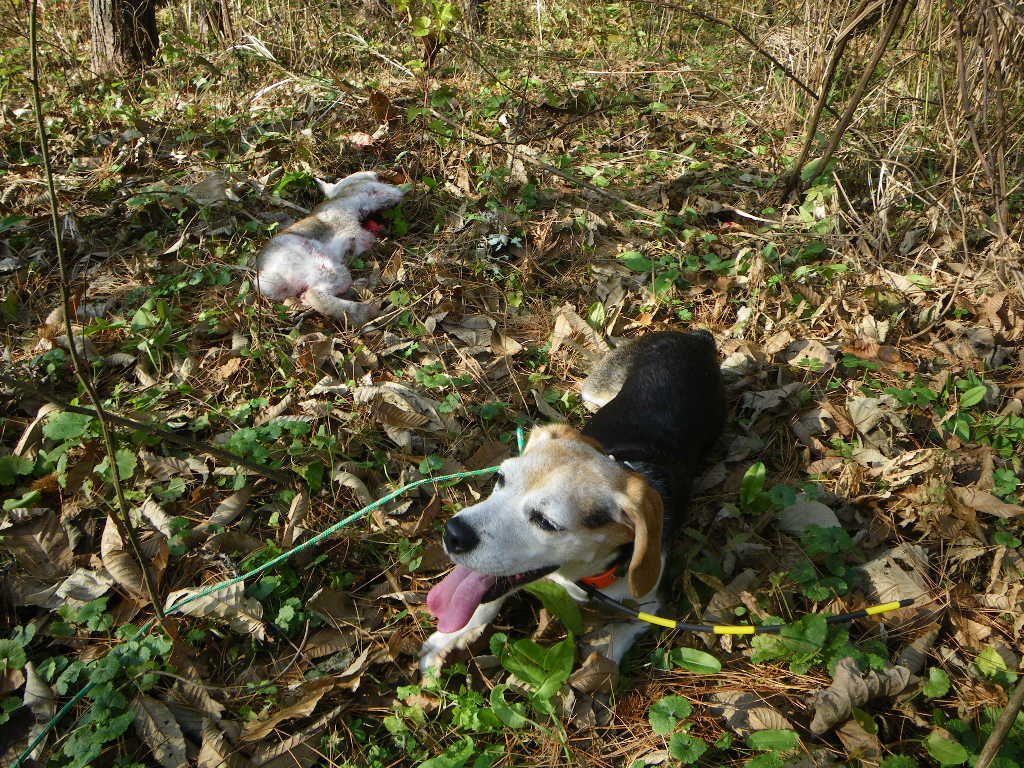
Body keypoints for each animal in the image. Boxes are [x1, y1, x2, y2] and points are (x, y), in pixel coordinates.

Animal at [419, 329, 724, 671]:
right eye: (501, 478)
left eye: (546, 522)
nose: (453, 534)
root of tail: (696, 337)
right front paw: (450, 636)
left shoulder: (648, 605)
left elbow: (610, 647)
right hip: (593, 390)